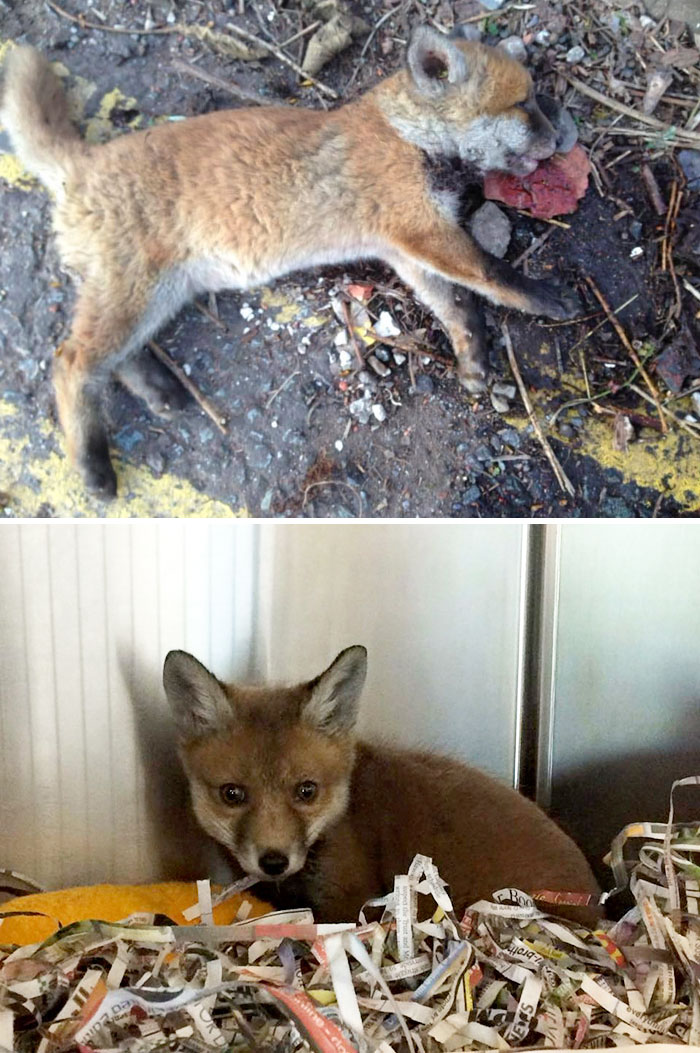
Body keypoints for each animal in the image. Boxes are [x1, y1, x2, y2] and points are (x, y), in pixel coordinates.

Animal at [1, 29, 579, 498]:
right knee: (70, 360)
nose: (561, 139)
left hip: (155, 297)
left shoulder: (406, 251)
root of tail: (81, 165)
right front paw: (546, 298)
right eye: (525, 103)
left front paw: (473, 360)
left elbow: (457, 307)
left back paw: (157, 392)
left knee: (107, 359)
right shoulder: (420, 230)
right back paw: (92, 466)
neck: (408, 136)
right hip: (135, 294)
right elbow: (491, 275)